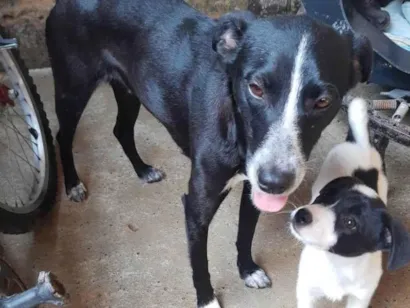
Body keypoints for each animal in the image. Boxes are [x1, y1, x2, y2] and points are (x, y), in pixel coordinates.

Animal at [45, 1, 372, 306]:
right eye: (255, 88)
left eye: (323, 101)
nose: (276, 181)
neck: (236, 128)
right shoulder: (196, 206)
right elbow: (199, 262)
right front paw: (207, 300)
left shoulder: (253, 189)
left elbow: (245, 234)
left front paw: (248, 270)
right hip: (73, 90)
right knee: (63, 136)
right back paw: (73, 184)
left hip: (128, 90)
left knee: (121, 130)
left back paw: (143, 170)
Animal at [290, 98, 410, 308]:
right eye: (325, 195)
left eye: (350, 222)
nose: (301, 215)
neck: (337, 264)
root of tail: (361, 144)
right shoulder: (306, 290)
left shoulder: (360, 298)